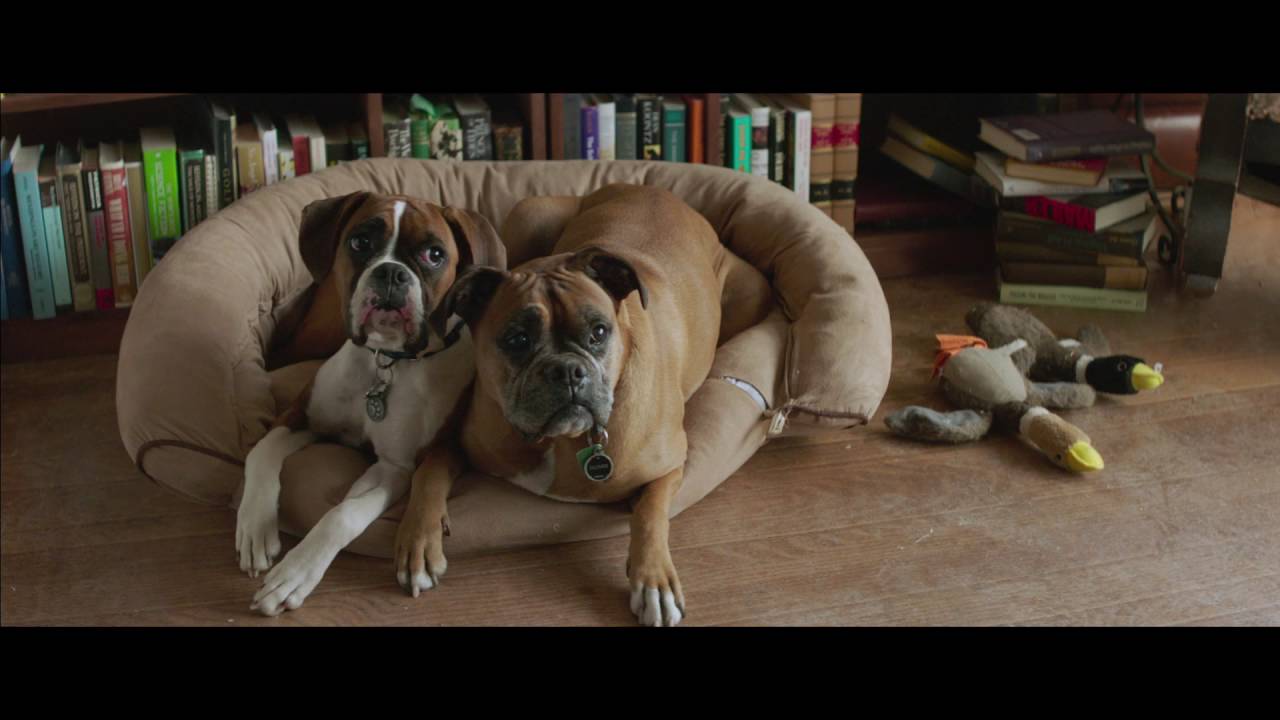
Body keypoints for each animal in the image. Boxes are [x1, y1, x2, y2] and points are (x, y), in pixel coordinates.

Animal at [235, 191, 504, 616]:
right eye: (360, 242)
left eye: (434, 254)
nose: (391, 273)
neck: (386, 362)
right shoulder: (300, 416)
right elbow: (261, 451)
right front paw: (255, 526)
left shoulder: (395, 467)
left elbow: (343, 513)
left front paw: (295, 573)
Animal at [393, 183, 772, 625]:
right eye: (517, 340)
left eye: (599, 332)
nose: (567, 370)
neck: (558, 441)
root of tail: (648, 187)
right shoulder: (456, 443)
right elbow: (430, 471)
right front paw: (418, 541)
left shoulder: (670, 466)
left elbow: (650, 513)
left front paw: (653, 581)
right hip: (530, 214)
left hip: (751, 294)